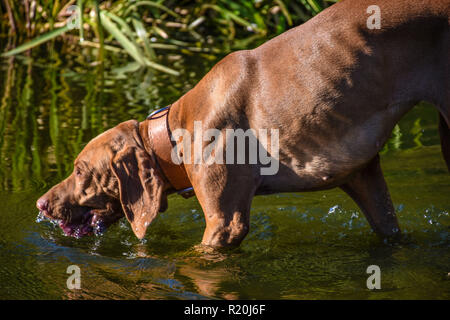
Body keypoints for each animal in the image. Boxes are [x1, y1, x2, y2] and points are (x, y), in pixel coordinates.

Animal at [37, 0, 448, 249]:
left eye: (80, 170)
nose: (41, 203)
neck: (172, 133)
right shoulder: (362, 175)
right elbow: (390, 228)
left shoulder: (226, 222)